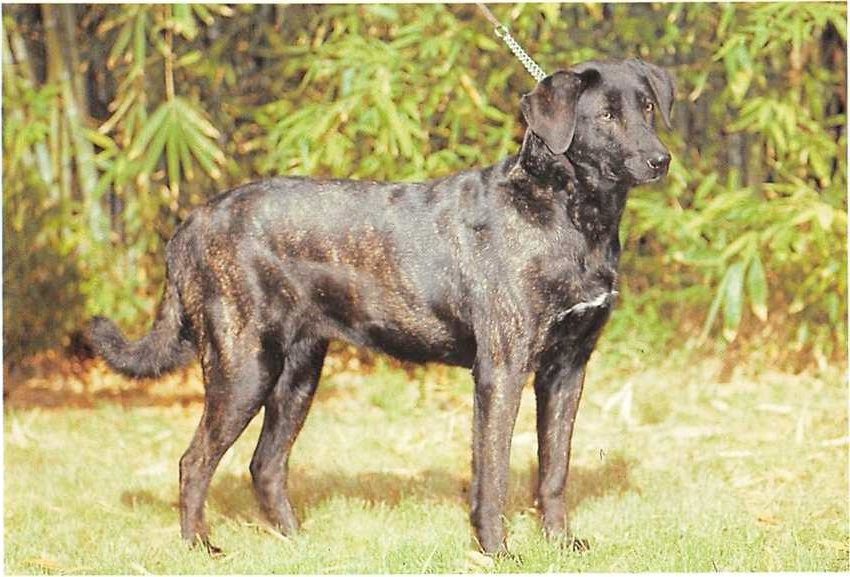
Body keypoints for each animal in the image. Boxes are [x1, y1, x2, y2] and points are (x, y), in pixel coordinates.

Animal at [89, 57, 676, 552]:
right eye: (605, 115)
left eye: (648, 107)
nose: (660, 159)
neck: (566, 211)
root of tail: (189, 225)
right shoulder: (502, 370)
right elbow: (493, 473)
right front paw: (497, 552)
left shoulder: (568, 368)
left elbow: (554, 469)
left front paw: (560, 545)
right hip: (243, 368)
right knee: (194, 461)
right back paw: (200, 547)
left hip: (298, 372)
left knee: (265, 464)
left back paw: (299, 545)